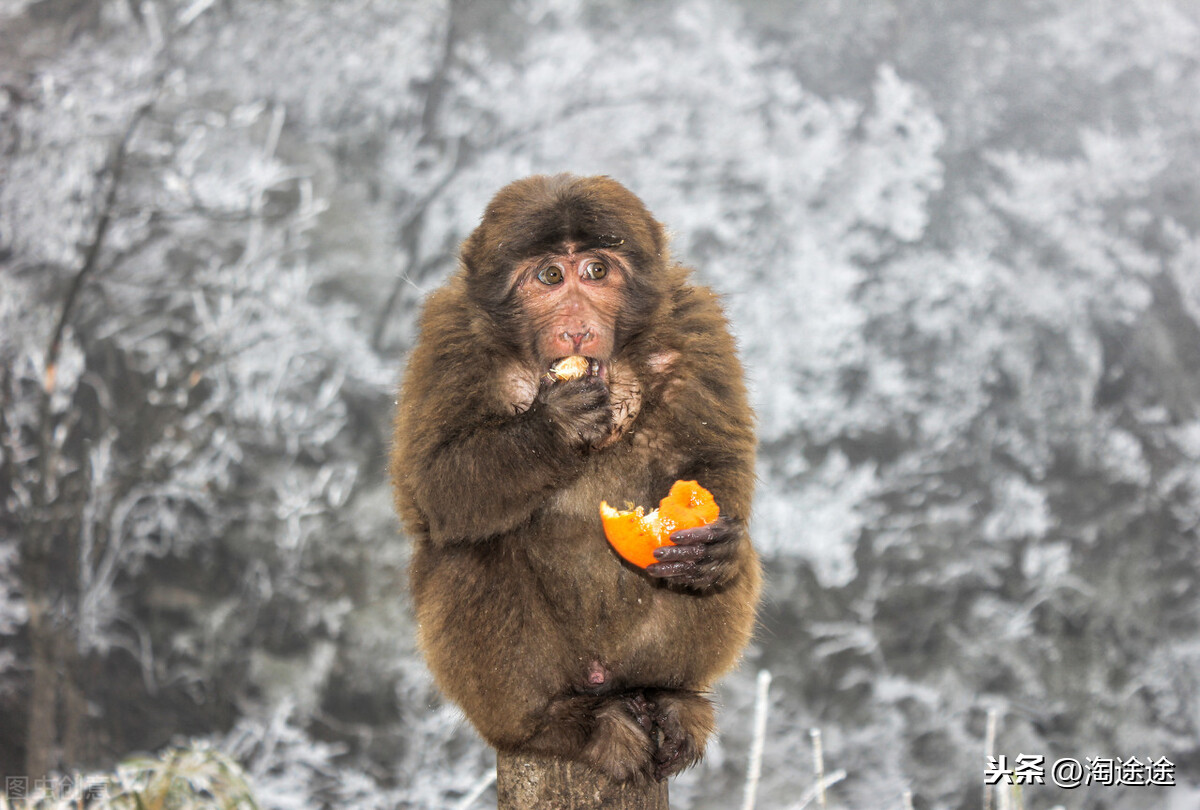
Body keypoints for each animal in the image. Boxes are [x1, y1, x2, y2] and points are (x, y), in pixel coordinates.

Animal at [393, 172, 758, 787]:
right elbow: (434, 489)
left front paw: (716, 546)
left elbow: (722, 459)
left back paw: (670, 698)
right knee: (473, 550)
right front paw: (556, 425)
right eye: (549, 276)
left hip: (630, 657)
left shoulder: (695, 323)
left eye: (596, 271)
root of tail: (600, 678)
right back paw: (559, 725)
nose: (577, 328)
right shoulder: (449, 342)